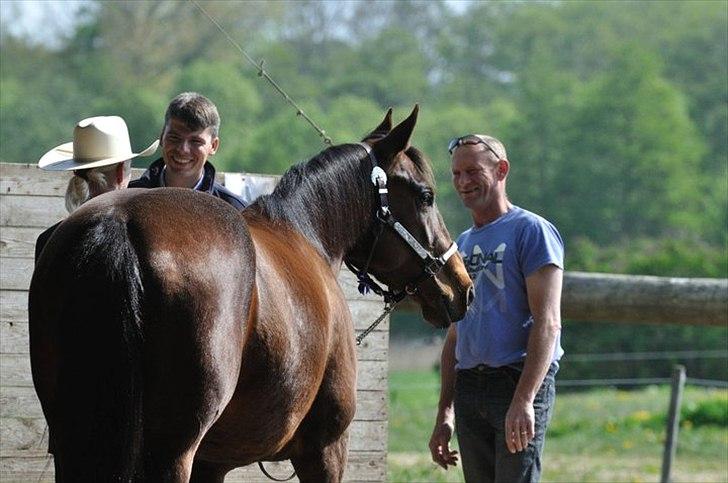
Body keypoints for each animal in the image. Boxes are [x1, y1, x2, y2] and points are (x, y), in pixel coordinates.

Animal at [27, 107, 472, 483]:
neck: (307, 233)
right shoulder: (326, 448)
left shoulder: (211, 462)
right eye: (426, 195)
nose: (461, 286)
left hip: (74, 439)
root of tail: (120, 225)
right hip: (172, 450)